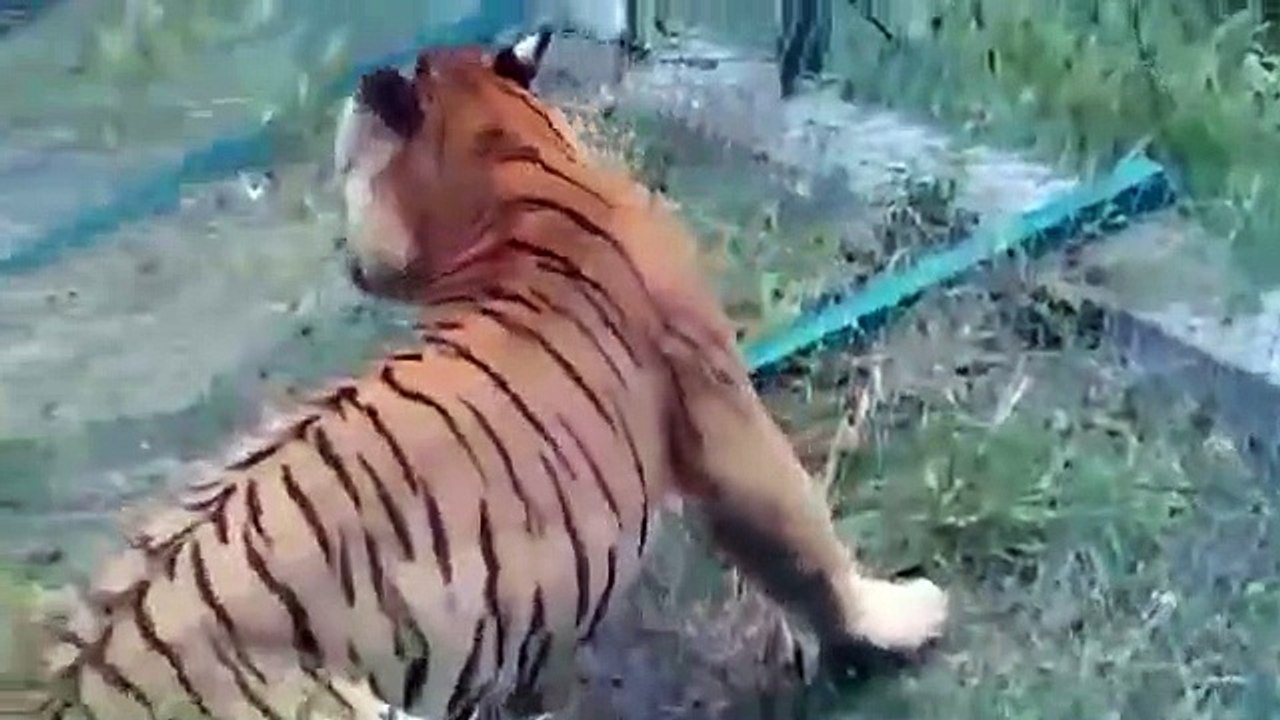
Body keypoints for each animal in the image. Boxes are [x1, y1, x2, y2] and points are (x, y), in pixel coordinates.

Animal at [8, 28, 948, 720]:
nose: (342, 253)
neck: (510, 170)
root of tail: (73, 689)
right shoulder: (721, 415)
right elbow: (805, 541)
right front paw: (899, 622)